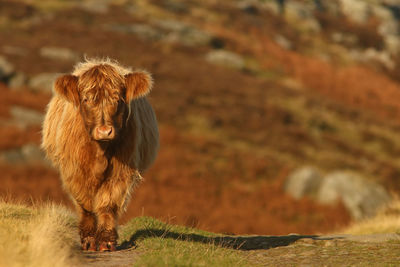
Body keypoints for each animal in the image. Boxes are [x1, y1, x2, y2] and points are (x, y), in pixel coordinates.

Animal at [41, 58, 159, 251]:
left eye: (118, 99)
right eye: (86, 99)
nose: (104, 131)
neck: (101, 152)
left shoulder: (121, 172)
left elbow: (108, 204)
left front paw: (106, 241)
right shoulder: (74, 171)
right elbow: (85, 205)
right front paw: (89, 241)